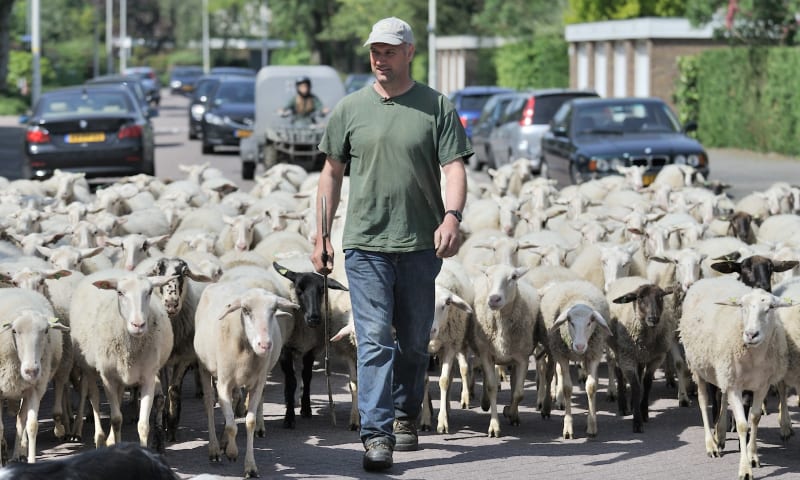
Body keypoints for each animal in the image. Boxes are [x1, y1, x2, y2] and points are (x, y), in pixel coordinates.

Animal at [194, 280, 296, 478]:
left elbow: (249, 421)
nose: (264, 345)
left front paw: (250, 466)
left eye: (274, 310)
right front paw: (232, 453)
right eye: (246, 310)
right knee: (209, 404)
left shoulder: (257, 383)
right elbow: (232, 426)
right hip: (204, 368)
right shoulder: (223, 383)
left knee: (234, 401)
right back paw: (215, 449)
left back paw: (224, 442)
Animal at [536, 278, 612, 438]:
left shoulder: (593, 354)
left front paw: (591, 425)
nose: (579, 346)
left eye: (590, 322)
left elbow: (591, 386)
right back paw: (545, 406)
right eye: (570, 322)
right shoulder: (562, 356)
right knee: (547, 373)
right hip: (551, 348)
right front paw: (568, 427)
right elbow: (567, 388)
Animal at [680, 278, 796, 480]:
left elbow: (755, 418)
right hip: (697, 366)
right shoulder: (735, 386)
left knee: (723, 396)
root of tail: (708, 279)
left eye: (771, 307)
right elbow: (742, 425)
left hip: (724, 371)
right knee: (703, 401)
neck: (754, 357)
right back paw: (711, 444)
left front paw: (752, 456)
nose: (750, 334)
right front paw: (745, 469)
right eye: (742, 307)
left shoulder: (762, 385)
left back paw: (720, 435)